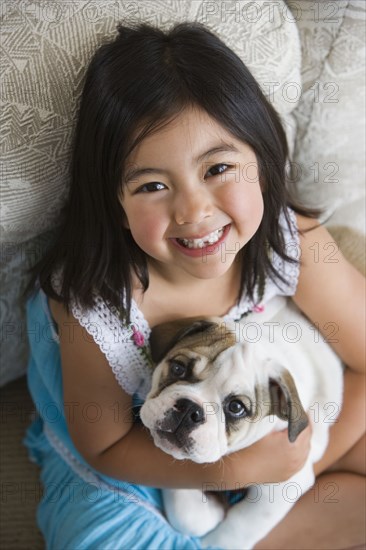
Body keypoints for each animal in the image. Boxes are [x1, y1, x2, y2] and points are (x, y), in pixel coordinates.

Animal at [139, 304, 344, 548]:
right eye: (178, 368)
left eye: (236, 407)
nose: (190, 410)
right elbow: (187, 515)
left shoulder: (286, 482)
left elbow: (237, 530)